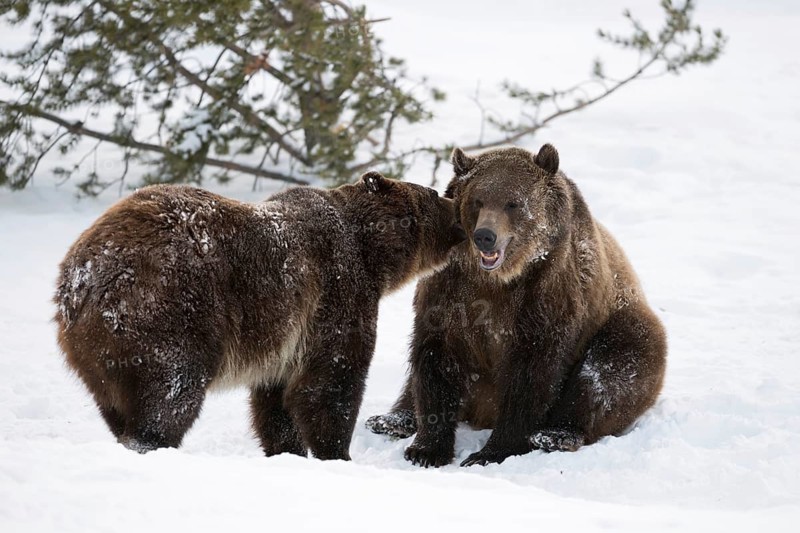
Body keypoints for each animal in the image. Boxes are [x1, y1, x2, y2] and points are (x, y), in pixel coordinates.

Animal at [54, 172, 465, 459]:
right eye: (433, 193)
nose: (459, 211)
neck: (372, 256)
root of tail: (81, 278)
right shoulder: (337, 292)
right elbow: (330, 382)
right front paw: (336, 453)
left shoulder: (285, 339)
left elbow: (275, 402)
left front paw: (288, 451)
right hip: (169, 310)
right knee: (171, 390)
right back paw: (150, 442)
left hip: (98, 355)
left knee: (119, 404)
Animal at [366, 144, 667, 467]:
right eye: (477, 200)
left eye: (513, 203)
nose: (485, 236)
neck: (498, 280)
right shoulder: (449, 290)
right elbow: (436, 358)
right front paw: (426, 449)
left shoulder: (546, 296)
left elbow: (532, 374)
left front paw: (490, 452)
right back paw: (391, 419)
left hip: (622, 325)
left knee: (606, 373)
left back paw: (556, 434)